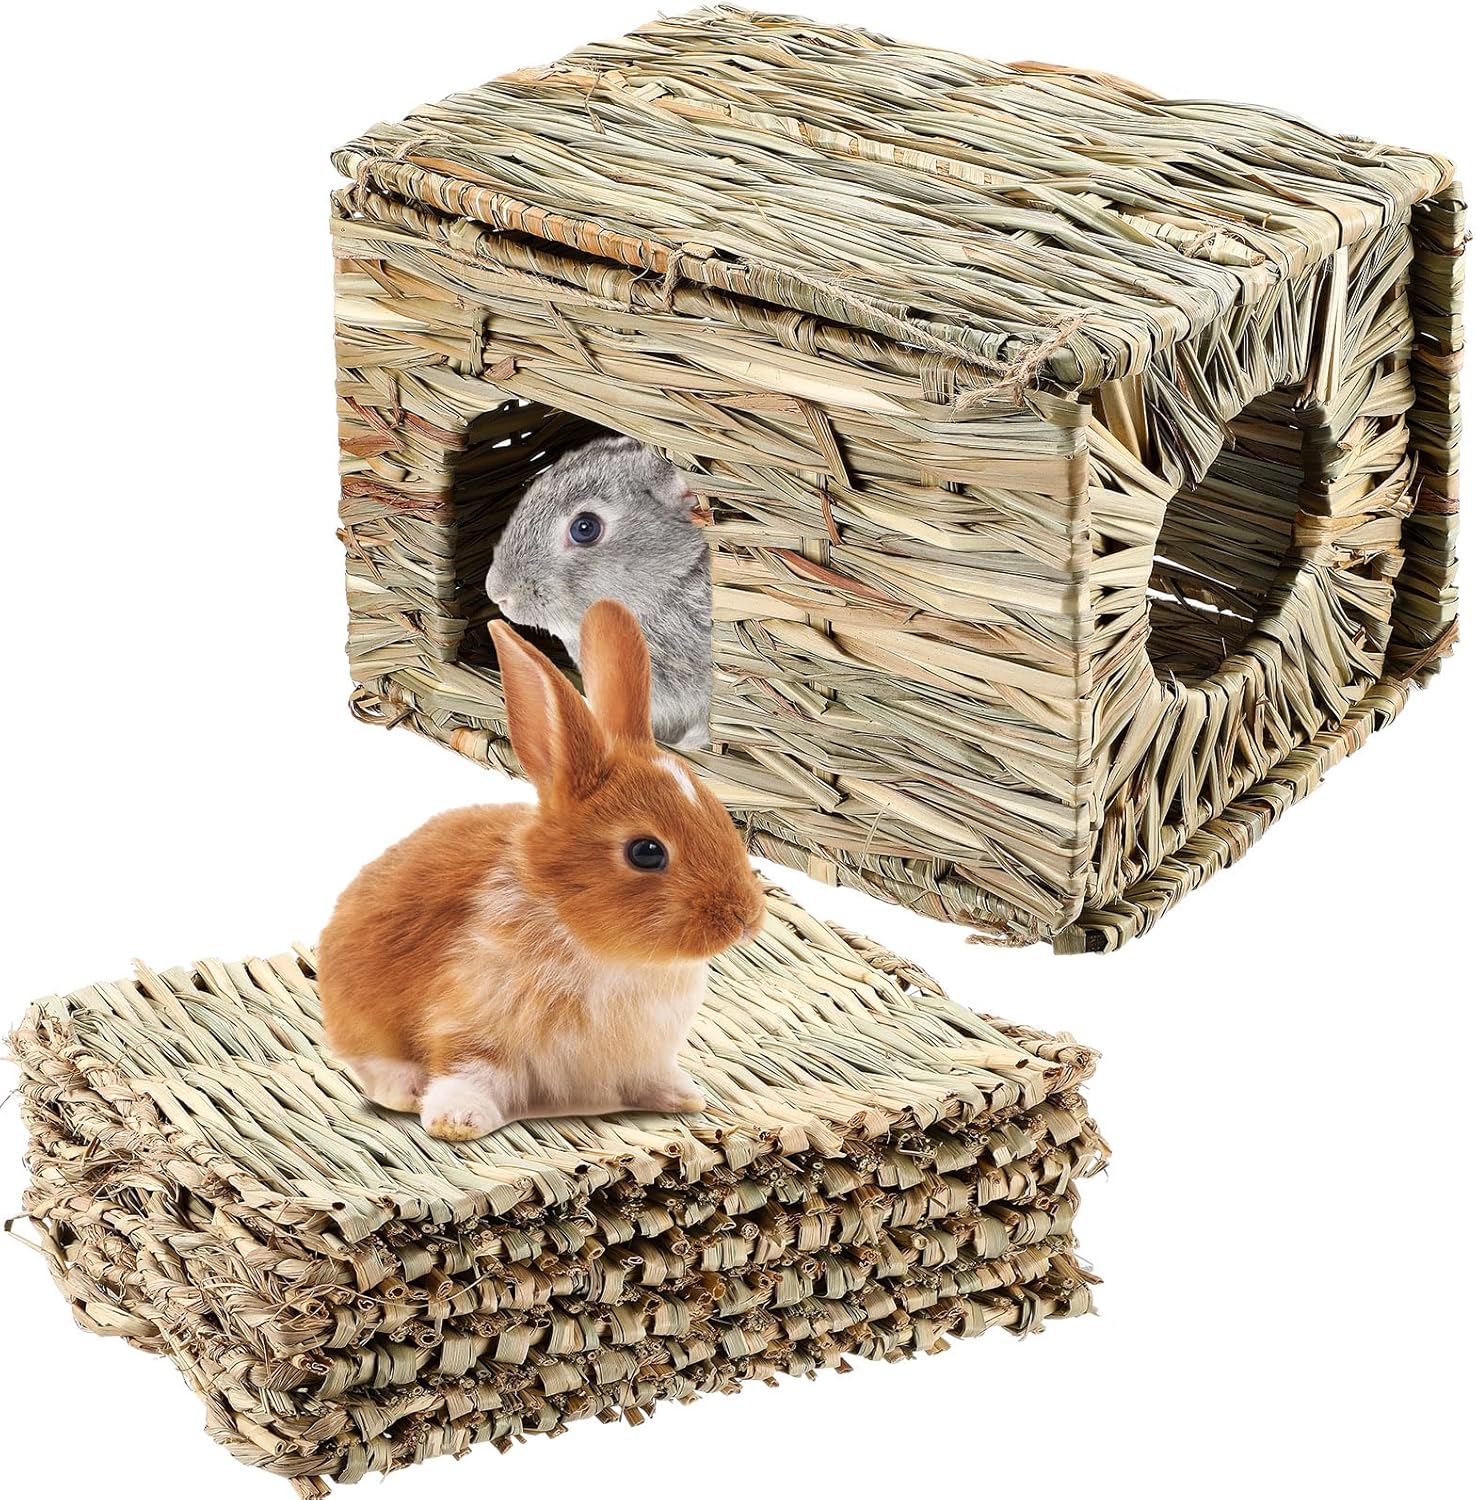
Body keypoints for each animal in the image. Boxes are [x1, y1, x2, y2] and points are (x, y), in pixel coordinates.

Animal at [317, 597, 765, 1142]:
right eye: (646, 852)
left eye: (719, 811)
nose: (745, 919)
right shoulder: (472, 1023)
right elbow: (468, 1070)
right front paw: (456, 1120)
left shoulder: (643, 1056)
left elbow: (650, 1077)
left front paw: (683, 1096)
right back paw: (405, 1089)